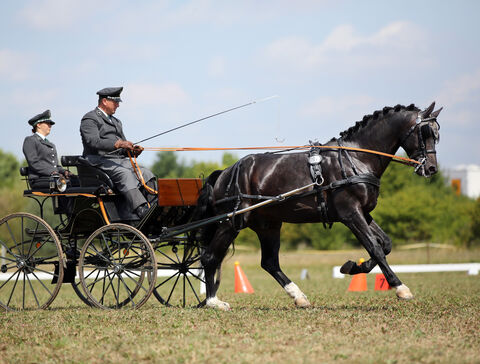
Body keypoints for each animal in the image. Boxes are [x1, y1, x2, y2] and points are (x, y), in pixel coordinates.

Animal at [196, 102, 442, 310]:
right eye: (426, 132)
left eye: (437, 134)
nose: (431, 168)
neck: (356, 157)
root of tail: (226, 173)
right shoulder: (350, 214)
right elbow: (375, 247)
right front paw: (401, 288)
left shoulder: (363, 212)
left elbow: (386, 244)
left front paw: (351, 267)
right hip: (231, 222)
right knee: (210, 257)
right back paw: (213, 301)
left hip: (268, 225)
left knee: (269, 262)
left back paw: (299, 297)